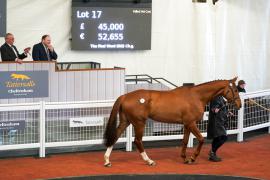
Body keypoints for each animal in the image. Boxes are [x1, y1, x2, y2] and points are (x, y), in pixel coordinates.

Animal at [103, 76, 240, 167]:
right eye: (236, 90)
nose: (239, 104)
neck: (196, 96)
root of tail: (125, 96)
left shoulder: (187, 125)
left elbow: (185, 141)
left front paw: (185, 158)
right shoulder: (192, 123)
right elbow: (201, 139)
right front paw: (192, 158)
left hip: (126, 121)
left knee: (115, 136)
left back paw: (107, 161)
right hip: (139, 123)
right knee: (137, 141)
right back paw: (149, 161)